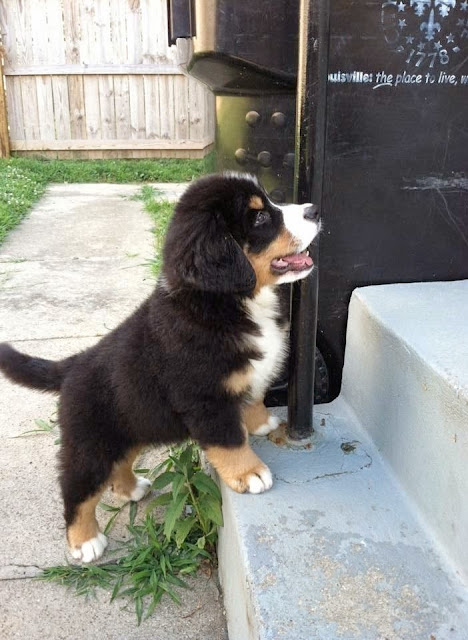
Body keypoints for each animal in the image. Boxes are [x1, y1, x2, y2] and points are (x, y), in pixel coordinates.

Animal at [0, 172, 318, 564]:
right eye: (259, 218)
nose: (314, 210)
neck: (223, 303)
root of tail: (73, 364)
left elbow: (253, 394)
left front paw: (260, 421)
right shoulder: (205, 399)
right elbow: (229, 439)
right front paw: (250, 472)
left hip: (132, 424)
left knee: (120, 461)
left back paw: (130, 488)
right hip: (90, 442)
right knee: (78, 490)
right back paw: (84, 541)